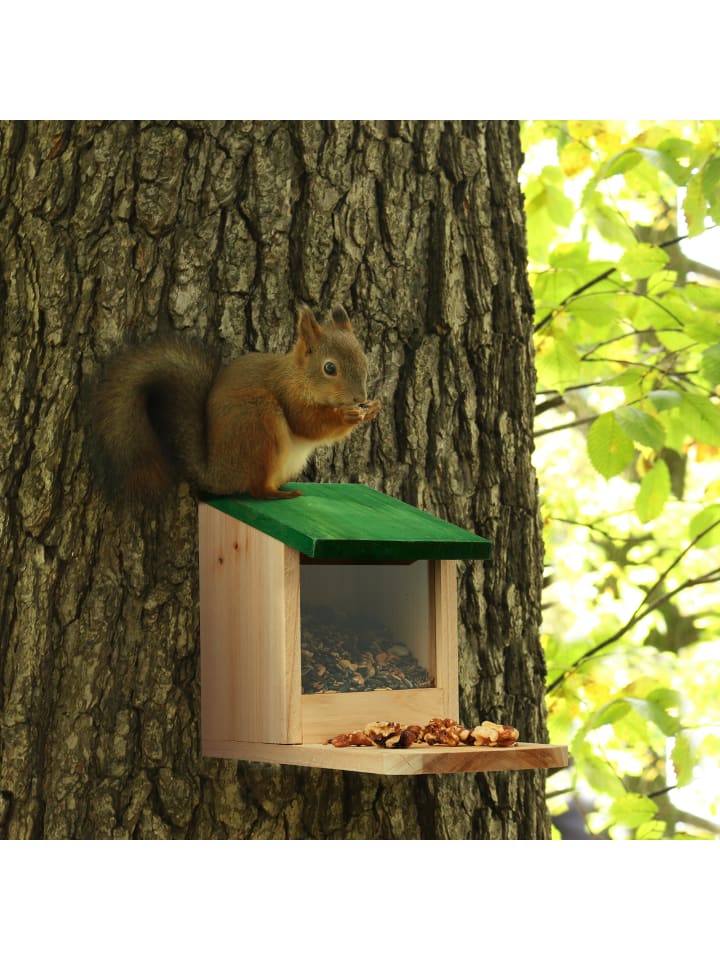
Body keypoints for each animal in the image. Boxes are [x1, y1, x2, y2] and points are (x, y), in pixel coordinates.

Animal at [92, 304, 381, 500]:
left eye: (366, 361)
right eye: (330, 368)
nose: (360, 398)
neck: (298, 376)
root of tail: (217, 474)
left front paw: (372, 409)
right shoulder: (287, 394)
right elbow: (308, 423)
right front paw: (348, 416)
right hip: (257, 421)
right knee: (256, 489)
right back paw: (278, 494)